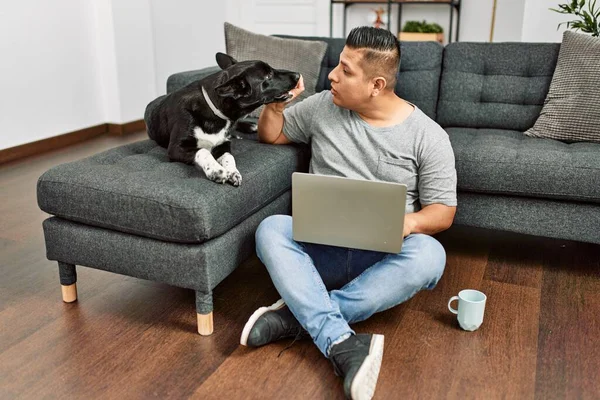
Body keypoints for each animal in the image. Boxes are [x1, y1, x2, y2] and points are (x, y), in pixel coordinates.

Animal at [146, 51, 300, 186]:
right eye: (268, 76)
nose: (298, 75)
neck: (213, 110)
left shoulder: (223, 145)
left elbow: (229, 157)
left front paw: (233, 172)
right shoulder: (175, 148)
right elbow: (203, 151)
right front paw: (216, 170)